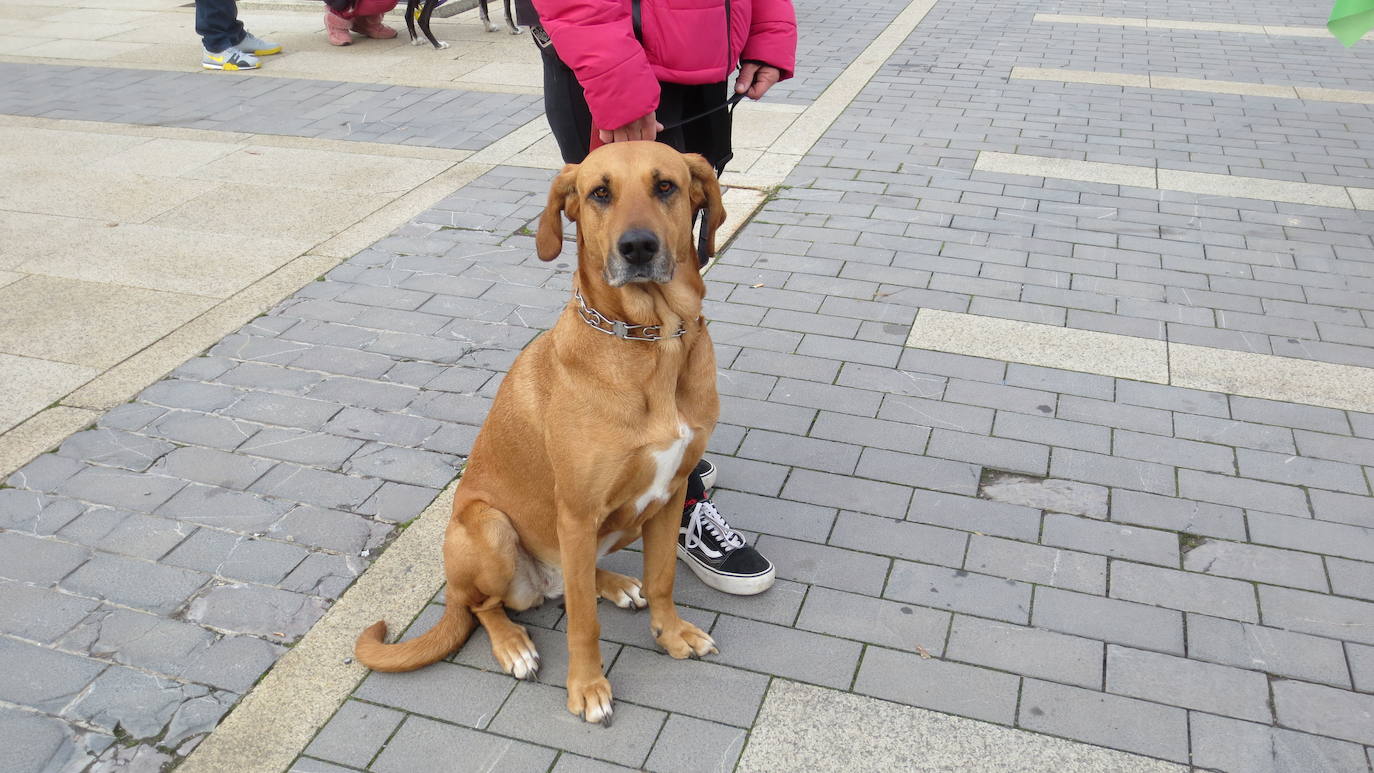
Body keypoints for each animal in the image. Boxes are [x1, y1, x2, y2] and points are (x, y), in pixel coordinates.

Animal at [357, 142, 730, 730]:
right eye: (599, 192)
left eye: (666, 186)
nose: (638, 247)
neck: (651, 339)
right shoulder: (575, 512)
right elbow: (583, 623)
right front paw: (587, 687)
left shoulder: (670, 496)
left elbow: (664, 578)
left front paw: (672, 635)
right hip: (488, 528)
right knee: (487, 606)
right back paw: (513, 644)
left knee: (575, 582)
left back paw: (615, 583)